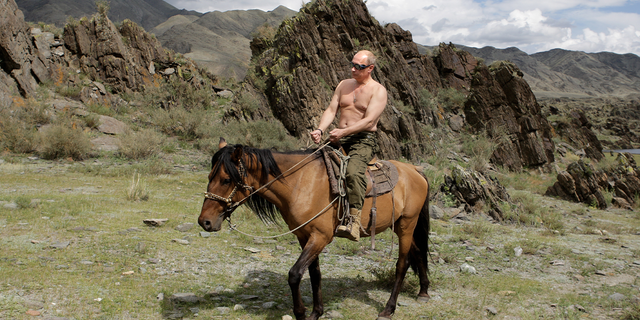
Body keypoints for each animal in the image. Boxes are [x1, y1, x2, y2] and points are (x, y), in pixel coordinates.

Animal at [199, 139, 430, 320]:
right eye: (209, 177)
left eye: (226, 179)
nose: (204, 222)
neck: (300, 184)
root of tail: (414, 170)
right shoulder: (305, 236)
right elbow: (314, 273)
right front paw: (316, 312)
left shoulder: (321, 237)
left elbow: (295, 274)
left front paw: (301, 313)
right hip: (402, 225)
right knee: (418, 252)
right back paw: (424, 291)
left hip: (406, 224)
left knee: (402, 264)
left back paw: (388, 309)